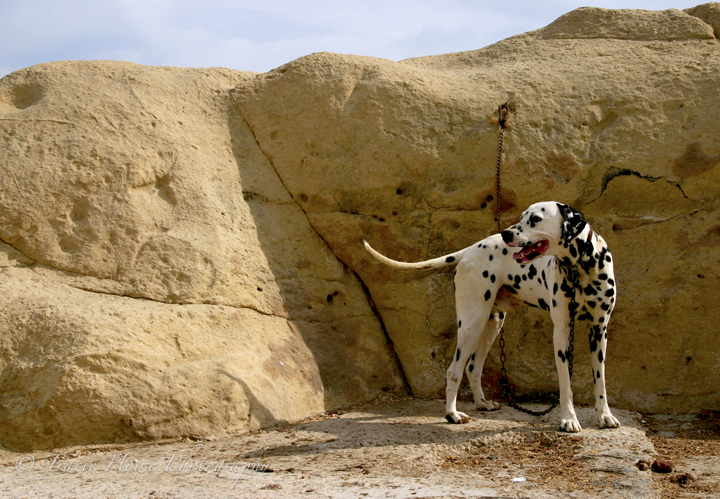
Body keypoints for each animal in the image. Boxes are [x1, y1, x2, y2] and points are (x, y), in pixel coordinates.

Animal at [366, 202, 620, 434]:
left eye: (536, 219)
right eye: (522, 216)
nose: (506, 233)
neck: (582, 268)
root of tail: (470, 249)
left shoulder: (599, 331)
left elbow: (600, 379)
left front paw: (604, 415)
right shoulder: (561, 332)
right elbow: (566, 384)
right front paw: (568, 419)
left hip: (492, 324)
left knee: (473, 367)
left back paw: (482, 403)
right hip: (472, 323)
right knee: (454, 370)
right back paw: (452, 414)